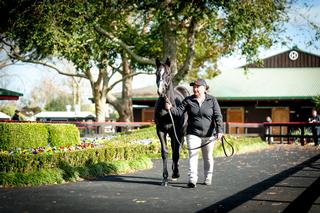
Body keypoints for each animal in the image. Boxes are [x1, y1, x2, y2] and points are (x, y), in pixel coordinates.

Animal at [154, 58, 189, 186]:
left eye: (168, 74)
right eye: (156, 73)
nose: (160, 91)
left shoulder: (176, 132)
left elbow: (176, 152)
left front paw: (175, 173)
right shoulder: (161, 130)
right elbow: (165, 152)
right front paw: (164, 178)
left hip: (181, 132)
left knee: (177, 149)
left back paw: (175, 172)